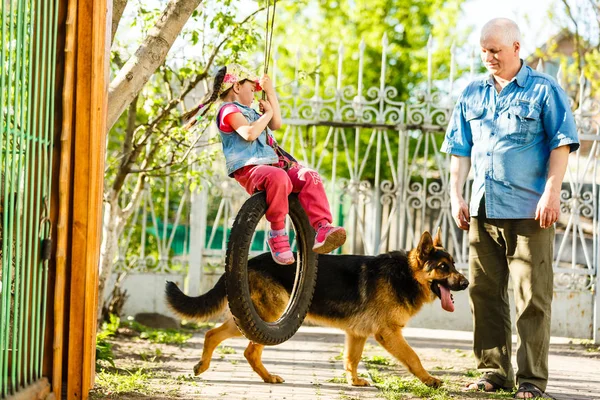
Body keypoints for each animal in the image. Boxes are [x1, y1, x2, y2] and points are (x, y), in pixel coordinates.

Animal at [165, 230, 468, 390]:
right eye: (443, 268)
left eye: (454, 264)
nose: (466, 283)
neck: (406, 274)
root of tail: (247, 262)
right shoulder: (388, 334)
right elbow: (413, 357)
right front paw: (429, 379)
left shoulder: (357, 335)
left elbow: (351, 359)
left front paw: (354, 381)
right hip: (269, 316)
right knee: (231, 342)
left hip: (256, 318)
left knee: (223, 339)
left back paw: (256, 375)